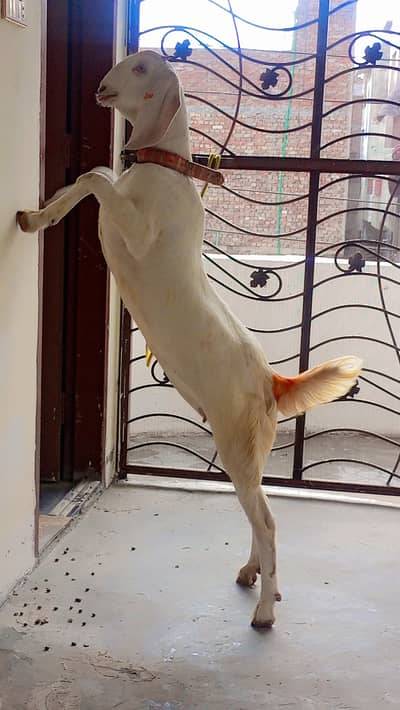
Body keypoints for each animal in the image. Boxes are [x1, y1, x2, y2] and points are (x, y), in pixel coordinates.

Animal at [17, 51, 362, 628]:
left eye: (141, 69)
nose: (100, 86)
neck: (161, 168)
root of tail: (273, 380)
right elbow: (93, 178)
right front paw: (35, 216)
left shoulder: (137, 232)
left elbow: (96, 175)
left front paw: (44, 212)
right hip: (245, 455)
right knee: (258, 515)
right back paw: (253, 573)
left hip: (238, 448)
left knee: (268, 522)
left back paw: (265, 609)